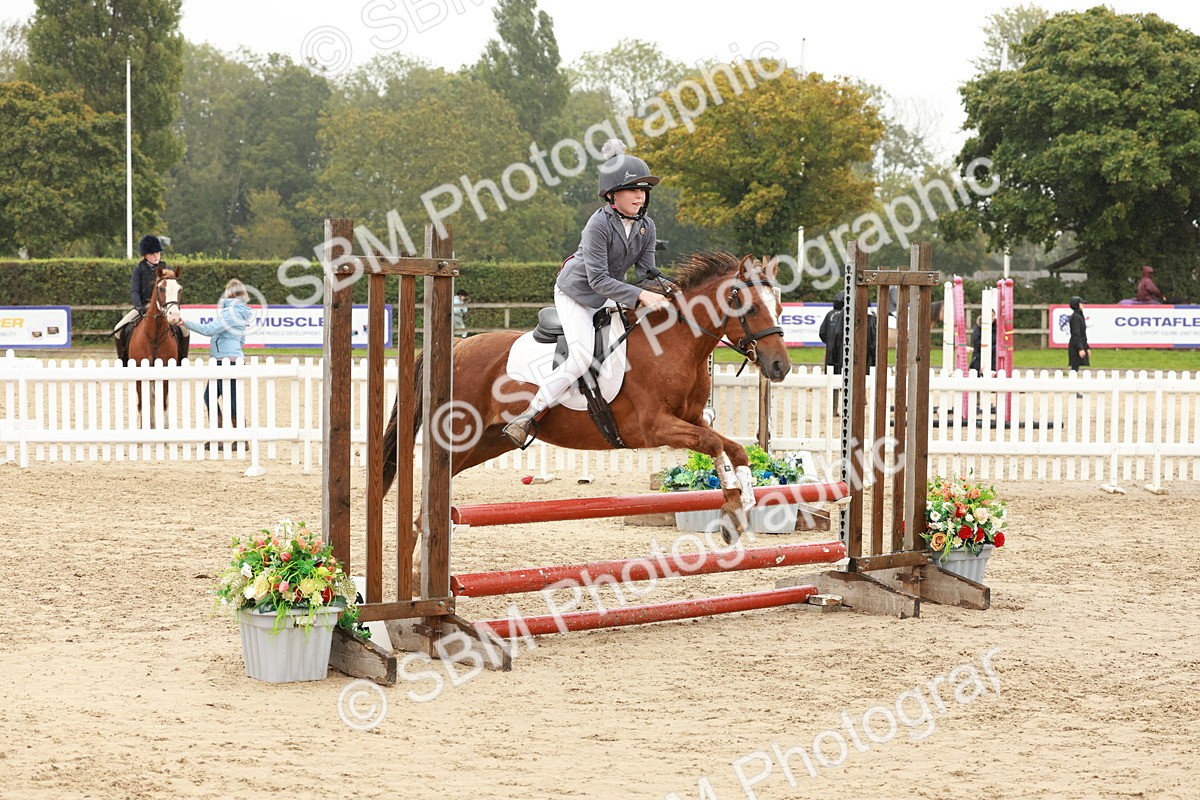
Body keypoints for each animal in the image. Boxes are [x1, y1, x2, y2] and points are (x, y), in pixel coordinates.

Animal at [125, 265, 183, 419]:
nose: (174, 317)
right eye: (161, 289)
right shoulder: (140, 377)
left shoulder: (164, 377)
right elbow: (142, 405)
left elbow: (163, 405)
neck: (154, 337)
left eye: (180, 289)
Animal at [381, 251, 791, 546]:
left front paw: (741, 505)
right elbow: (714, 446)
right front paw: (734, 504)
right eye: (751, 308)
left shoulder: (692, 419)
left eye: (779, 308)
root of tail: (457, 347)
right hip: (461, 436)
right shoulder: (655, 427)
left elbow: (734, 448)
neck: (675, 344)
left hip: (488, 442)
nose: (780, 366)